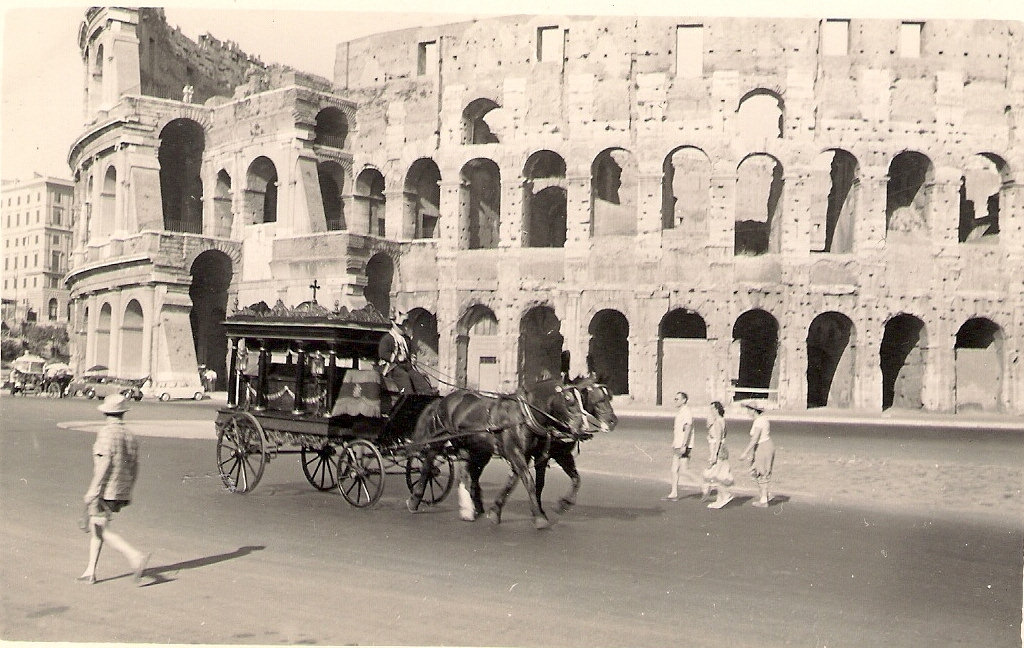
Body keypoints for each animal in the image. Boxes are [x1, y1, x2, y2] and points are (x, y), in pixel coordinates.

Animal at [407, 384, 585, 524]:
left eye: (583, 398)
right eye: (569, 399)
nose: (581, 427)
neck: (524, 416)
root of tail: (443, 400)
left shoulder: (529, 455)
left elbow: (514, 482)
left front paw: (495, 511)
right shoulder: (516, 453)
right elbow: (529, 482)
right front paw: (539, 517)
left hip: (474, 448)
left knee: (467, 473)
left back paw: (470, 508)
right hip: (439, 439)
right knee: (428, 464)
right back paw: (415, 500)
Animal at [489, 374, 618, 520]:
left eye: (609, 396)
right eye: (599, 398)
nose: (612, 421)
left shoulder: (555, 454)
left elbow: (574, 479)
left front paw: (560, 504)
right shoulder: (553, 454)